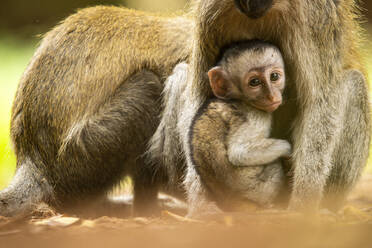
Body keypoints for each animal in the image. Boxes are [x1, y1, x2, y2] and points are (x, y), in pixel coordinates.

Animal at [190, 40, 292, 209]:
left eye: (274, 76)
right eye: (254, 82)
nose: (271, 96)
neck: (239, 99)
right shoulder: (255, 116)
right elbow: (239, 153)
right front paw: (288, 149)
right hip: (260, 190)